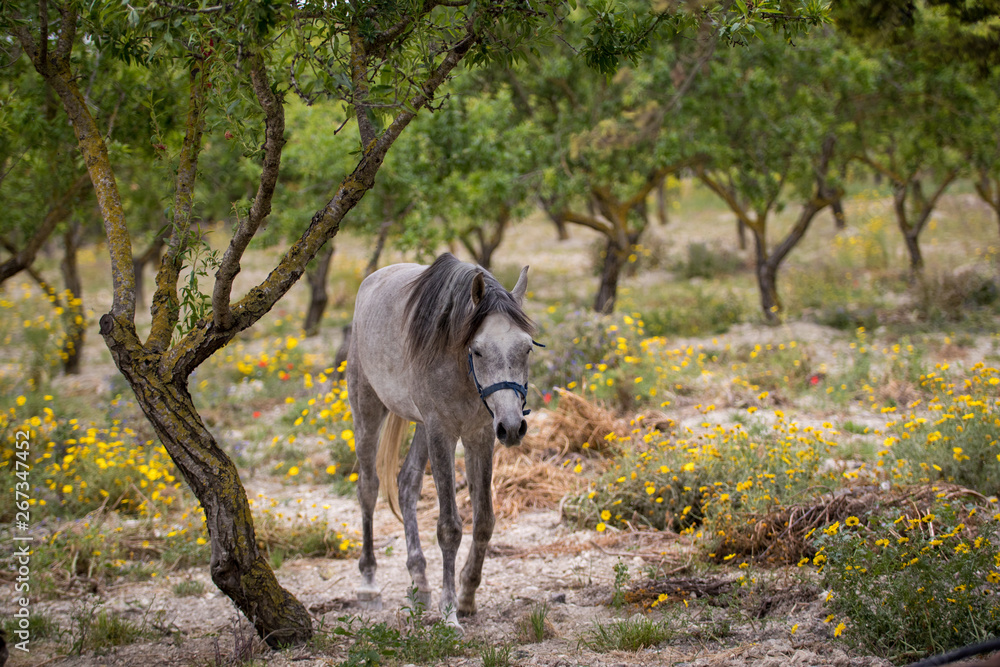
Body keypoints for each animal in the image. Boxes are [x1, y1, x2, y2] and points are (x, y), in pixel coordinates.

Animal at [346, 253, 537, 629]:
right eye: (477, 351)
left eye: (525, 348)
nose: (512, 427)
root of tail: (371, 280)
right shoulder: (442, 433)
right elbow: (449, 527)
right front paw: (449, 613)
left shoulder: (480, 435)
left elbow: (484, 521)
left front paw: (466, 596)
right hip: (368, 411)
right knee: (369, 489)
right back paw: (368, 582)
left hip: (422, 426)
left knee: (407, 484)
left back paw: (419, 582)